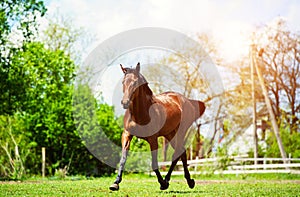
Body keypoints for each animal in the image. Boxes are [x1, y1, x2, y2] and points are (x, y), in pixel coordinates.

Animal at [109, 62, 205, 191]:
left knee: (177, 154)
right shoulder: (127, 135)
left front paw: (162, 183)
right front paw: (115, 183)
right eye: (123, 82)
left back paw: (172, 181)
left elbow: (154, 164)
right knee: (182, 153)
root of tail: (186, 100)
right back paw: (184, 180)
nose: (125, 103)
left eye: (135, 82)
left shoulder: (153, 139)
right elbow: (123, 159)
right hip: (170, 134)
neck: (140, 114)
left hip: (181, 132)